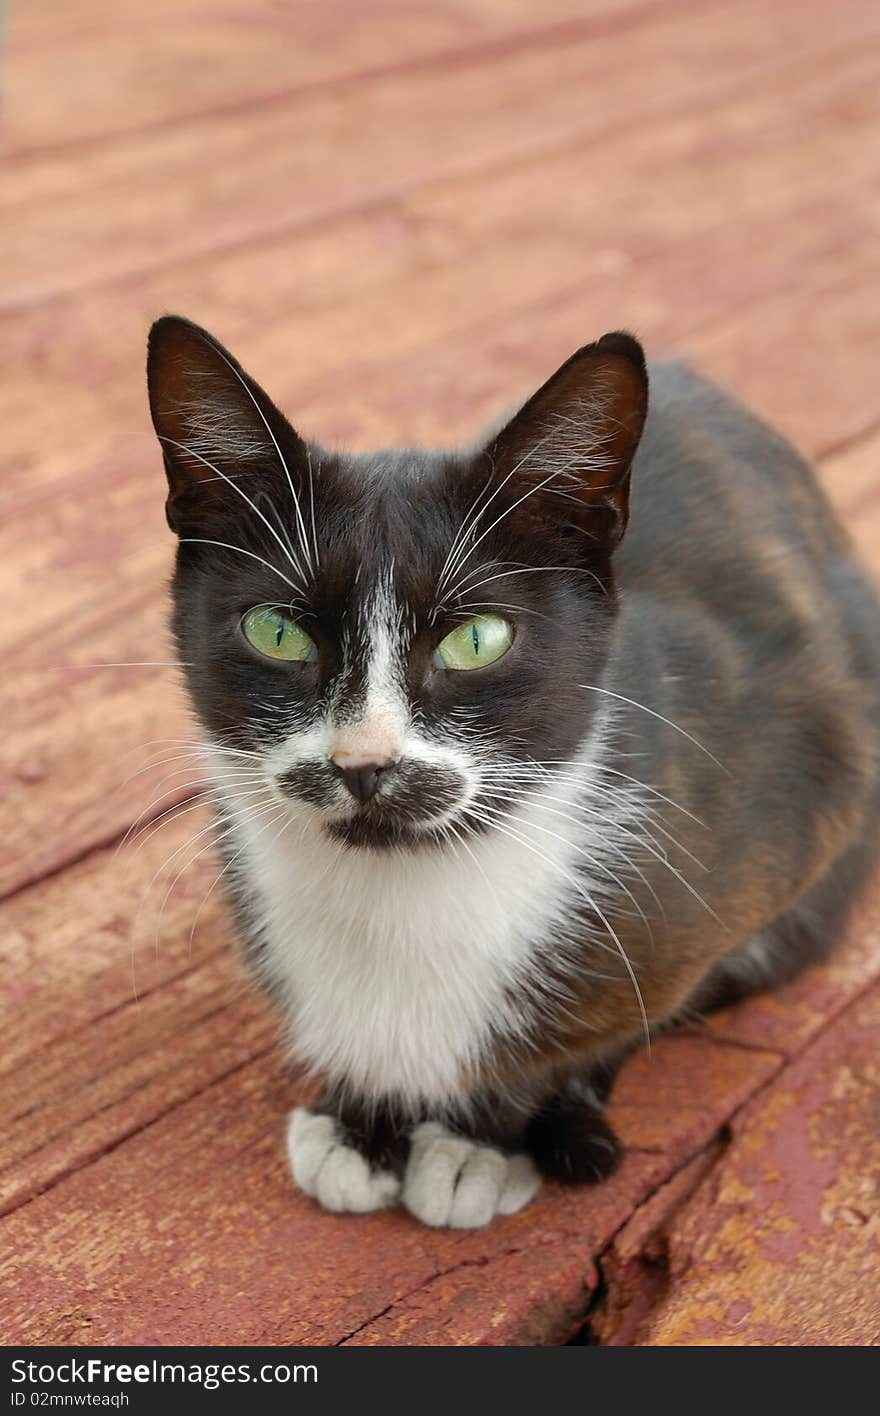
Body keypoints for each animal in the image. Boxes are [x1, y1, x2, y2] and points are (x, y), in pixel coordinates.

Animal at [145, 318, 878, 1229]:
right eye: (277, 631)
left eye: (477, 640)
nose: (364, 763)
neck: (401, 894)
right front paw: (359, 1122)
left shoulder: (811, 773)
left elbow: (631, 1012)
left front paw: (480, 1140)